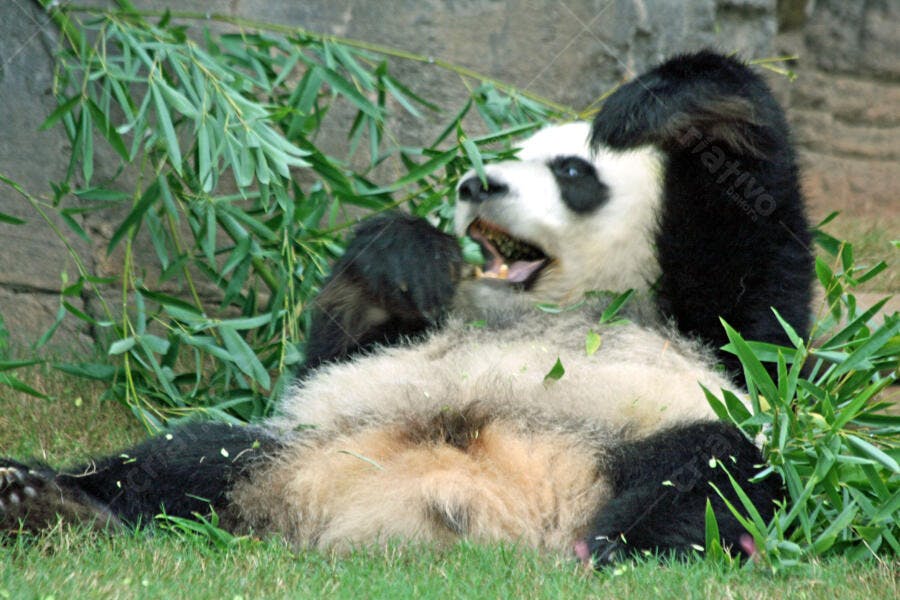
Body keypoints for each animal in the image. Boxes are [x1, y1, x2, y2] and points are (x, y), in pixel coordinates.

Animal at [0, 51, 812, 564]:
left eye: (573, 171)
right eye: (508, 157)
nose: (479, 184)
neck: (539, 309)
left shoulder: (703, 327)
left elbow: (759, 304)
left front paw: (669, 103)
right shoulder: (378, 349)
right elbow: (342, 344)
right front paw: (407, 254)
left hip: (640, 433)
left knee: (709, 472)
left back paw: (615, 546)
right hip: (309, 438)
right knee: (186, 458)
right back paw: (43, 501)